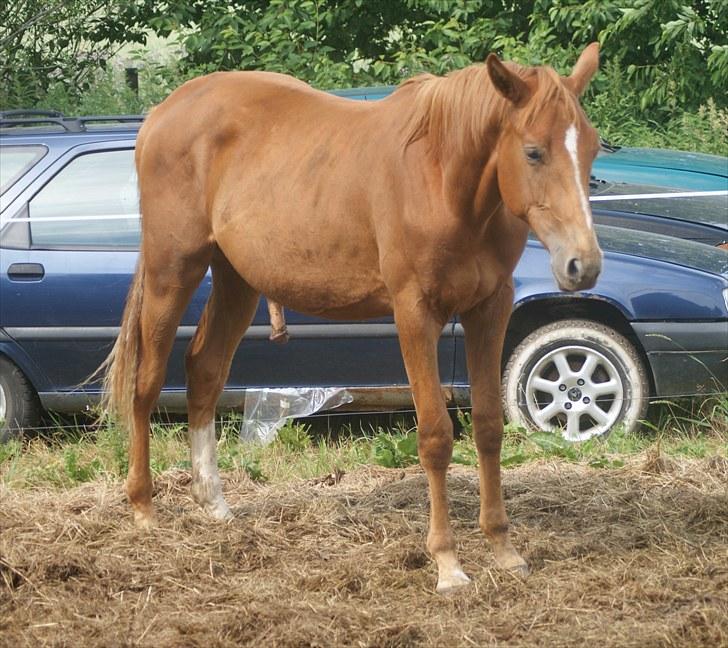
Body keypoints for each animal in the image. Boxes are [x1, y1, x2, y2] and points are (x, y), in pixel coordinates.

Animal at [102, 44, 604, 592]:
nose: (582, 264)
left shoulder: (488, 310)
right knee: (147, 381)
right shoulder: (414, 314)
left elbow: (489, 426)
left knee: (204, 371)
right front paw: (447, 562)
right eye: (534, 152)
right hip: (173, 270)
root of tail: (161, 114)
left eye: (592, 149)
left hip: (236, 281)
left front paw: (502, 548)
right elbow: (435, 436)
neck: (441, 177)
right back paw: (143, 507)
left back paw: (212, 501)